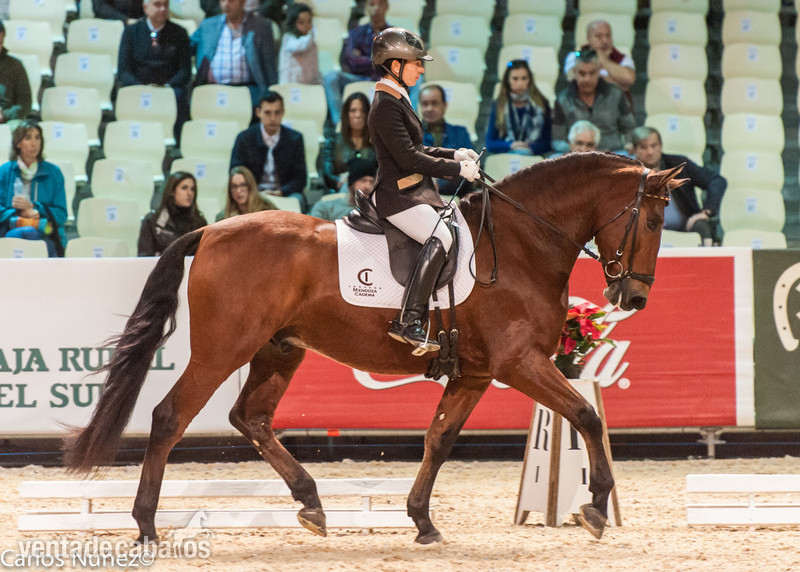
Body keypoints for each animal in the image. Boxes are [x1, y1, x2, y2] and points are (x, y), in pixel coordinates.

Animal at [64, 152, 684, 545]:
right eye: (654, 221)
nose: (633, 297)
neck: (519, 243)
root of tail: (211, 230)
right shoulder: (519, 362)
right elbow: (585, 415)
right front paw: (595, 505)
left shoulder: (476, 372)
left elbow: (439, 438)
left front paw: (422, 521)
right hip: (223, 350)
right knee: (171, 416)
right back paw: (146, 524)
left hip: (279, 349)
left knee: (251, 418)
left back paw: (311, 503)